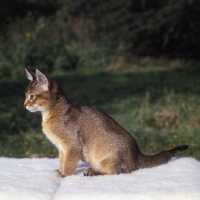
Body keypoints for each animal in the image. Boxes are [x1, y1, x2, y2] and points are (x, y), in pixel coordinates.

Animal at [24, 69, 188, 177]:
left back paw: (92, 171)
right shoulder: (62, 148)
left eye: (32, 96)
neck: (51, 114)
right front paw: (59, 170)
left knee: (118, 172)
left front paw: (63, 176)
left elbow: (69, 164)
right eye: (26, 95)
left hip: (107, 159)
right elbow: (61, 161)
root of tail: (138, 154)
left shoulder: (72, 146)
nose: (24, 105)